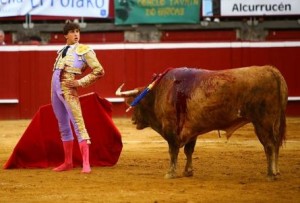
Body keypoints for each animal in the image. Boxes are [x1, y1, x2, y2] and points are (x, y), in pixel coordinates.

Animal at [115, 65, 288, 179]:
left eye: (137, 104)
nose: (133, 120)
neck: (159, 91)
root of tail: (271, 70)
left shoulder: (171, 130)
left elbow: (173, 151)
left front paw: (170, 173)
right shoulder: (192, 130)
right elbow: (189, 151)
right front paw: (188, 171)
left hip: (263, 121)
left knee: (269, 145)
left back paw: (271, 174)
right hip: (273, 123)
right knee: (274, 145)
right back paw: (277, 171)